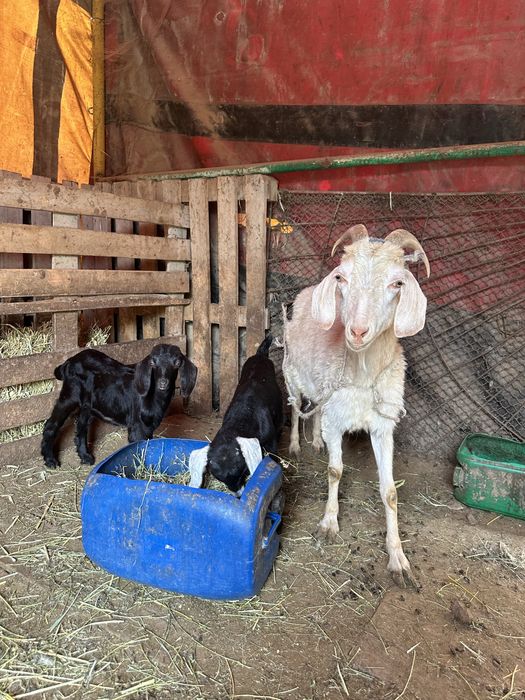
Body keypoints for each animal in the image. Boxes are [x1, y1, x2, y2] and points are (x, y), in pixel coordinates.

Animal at [41, 344, 197, 469]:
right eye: (153, 362)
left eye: (177, 363)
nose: (163, 383)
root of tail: (69, 361)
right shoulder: (137, 426)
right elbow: (139, 449)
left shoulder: (149, 427)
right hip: (69, 395)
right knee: (51, 424)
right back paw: (50, 460)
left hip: (87, 404)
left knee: (81, 426)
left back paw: (85, 456)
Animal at [188, 335, 283, 495]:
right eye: (220, 479)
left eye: (243, 471)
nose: (238, 495)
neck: (243, 417)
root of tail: (260, 355)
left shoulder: (270, 441)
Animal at [283, 224, 430, 587]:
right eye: (341, 277)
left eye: (397, 283)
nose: (358, 331)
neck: (362, 375)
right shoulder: (337, 421)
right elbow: (336, 471)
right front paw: (329, 524)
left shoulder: (383, 427)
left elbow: (390, 491)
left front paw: (398, 558)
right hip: (292, 375)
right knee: (296, 408)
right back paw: (296, 444)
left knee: (315, 411)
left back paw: (315, 441)